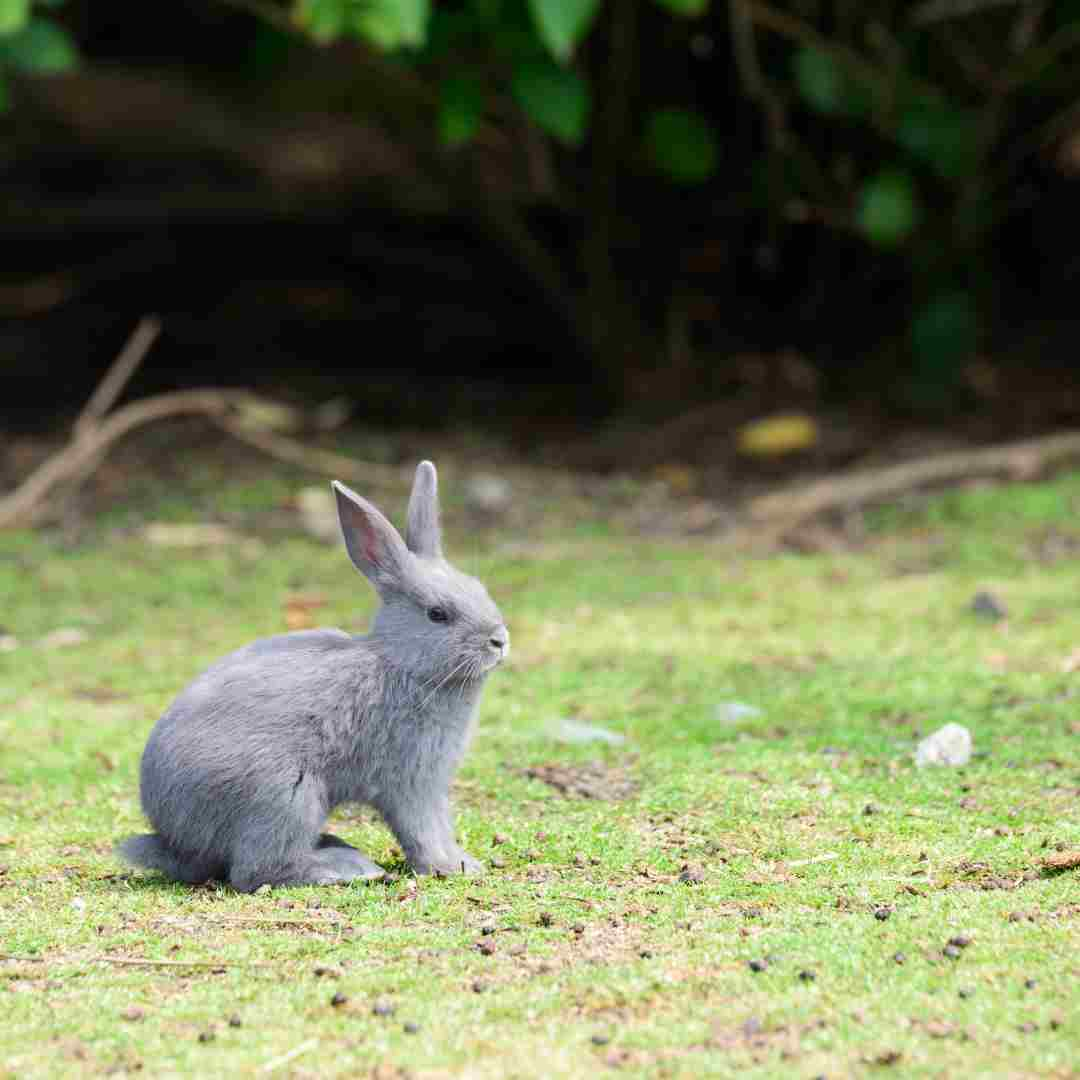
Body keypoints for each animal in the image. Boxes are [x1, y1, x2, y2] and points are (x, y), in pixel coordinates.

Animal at [120, 460, 507, 889]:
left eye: (479, 587)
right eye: (438, 614)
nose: (499, 640)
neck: (400, 662)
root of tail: (173, 842)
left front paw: (465, 863)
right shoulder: (410, 781)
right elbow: (422, 829)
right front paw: (449, 867)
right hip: (286, 796)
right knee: (256, 871)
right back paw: (344, 868)